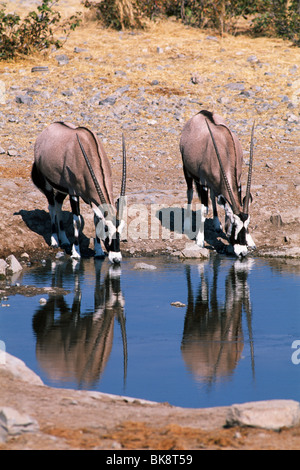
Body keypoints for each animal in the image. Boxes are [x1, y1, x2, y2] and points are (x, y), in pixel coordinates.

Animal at [31, 122, 126, 264]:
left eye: (121, 229)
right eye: (106, 228)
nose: (116, 259)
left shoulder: (91, 199)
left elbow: (96, 219)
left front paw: (98, 252)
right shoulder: (74, 193)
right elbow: (77, 221)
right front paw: (76, 253)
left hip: (62, 189)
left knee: (58, 205)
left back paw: (64, 240)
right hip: (48, 184)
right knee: (52, 207)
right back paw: (54, 240)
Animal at [179, 110, 256, 258]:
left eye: (247, 224)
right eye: (233, 224)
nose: (242, 252)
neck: (224, 147)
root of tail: (201, 113)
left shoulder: (238, 183)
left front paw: (250, 241)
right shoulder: (203, 183)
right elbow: (204, 209)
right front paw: (200, 240)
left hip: (213, 183)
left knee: (213, 196)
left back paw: (216, 224)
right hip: (187, 170)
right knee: (190, 193)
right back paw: (186, 224)